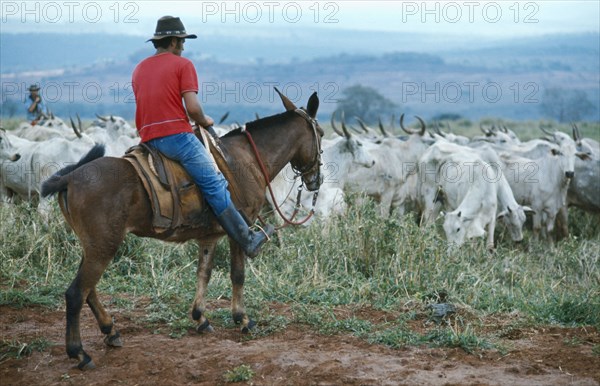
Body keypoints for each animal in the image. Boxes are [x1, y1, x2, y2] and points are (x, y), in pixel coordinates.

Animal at [41, 89, 324, 370]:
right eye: (320, 134)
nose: (316, 180)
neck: (248, 159)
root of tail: (69, 178)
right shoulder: (241, 228)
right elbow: (238, 274)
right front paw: (242, 319)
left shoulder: (209, 237)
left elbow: (203, 272)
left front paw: (200, 317)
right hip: (103, 247)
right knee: (76, 294)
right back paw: (79, 352)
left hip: (93, 246)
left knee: (88, 291)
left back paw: (110, 330)